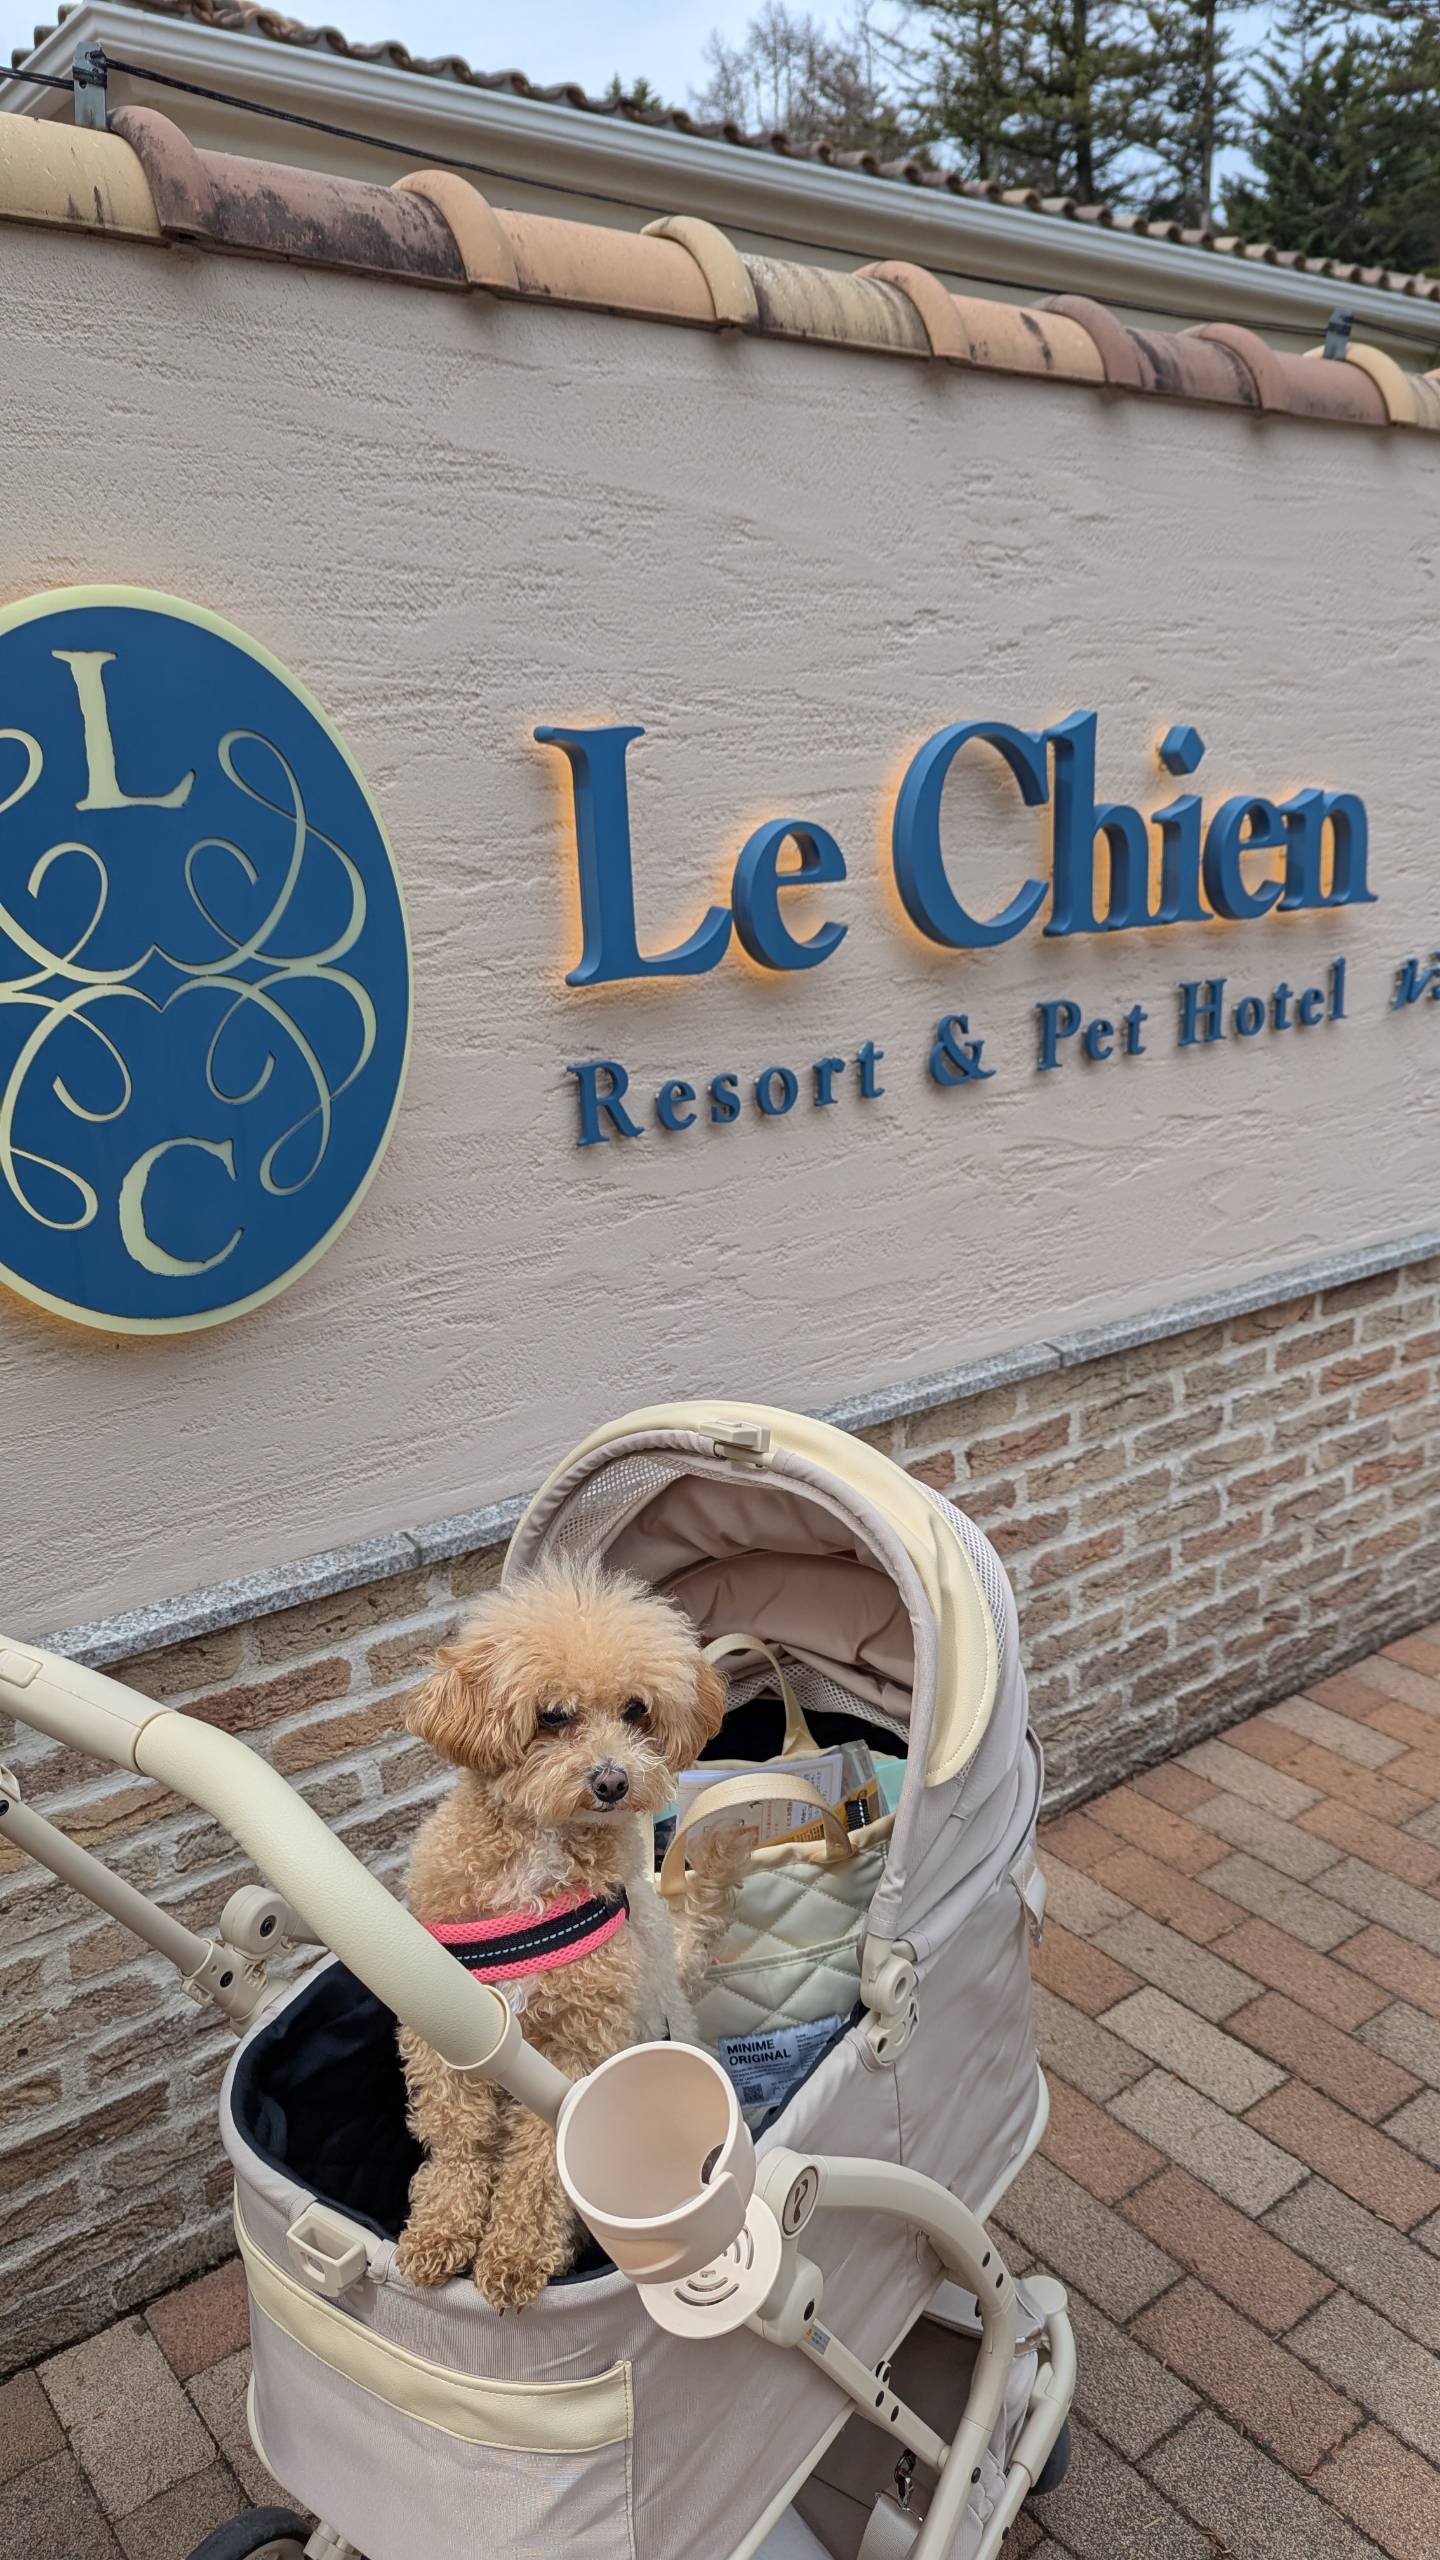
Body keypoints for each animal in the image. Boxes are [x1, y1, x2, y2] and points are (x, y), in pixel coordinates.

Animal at [394, 1556, 728, 2307]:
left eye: (636, 1710)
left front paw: (515, 2256)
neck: (537, 1862)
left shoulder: (581, 2041)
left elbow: (540, 2162)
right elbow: (455, 2139)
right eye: (551, 1715)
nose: (613, 1781)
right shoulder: (443, 2036)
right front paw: (438, 2234)